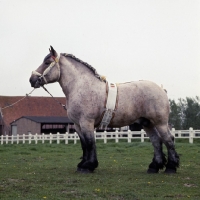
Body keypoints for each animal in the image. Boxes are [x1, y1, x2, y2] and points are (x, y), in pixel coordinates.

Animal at [29, 45, 180, 173]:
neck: (81, 86)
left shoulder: (87, 122)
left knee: (168, 140)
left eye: (47, 63)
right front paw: (83, 164)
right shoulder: (78, 125)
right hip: (147, 123)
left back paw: (171, 167)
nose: (32, 79)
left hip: (160, 123)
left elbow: (90, 143)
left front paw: (88, 166)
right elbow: (84, 144)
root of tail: (161, 89)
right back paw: (154, 167)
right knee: (156, 141)